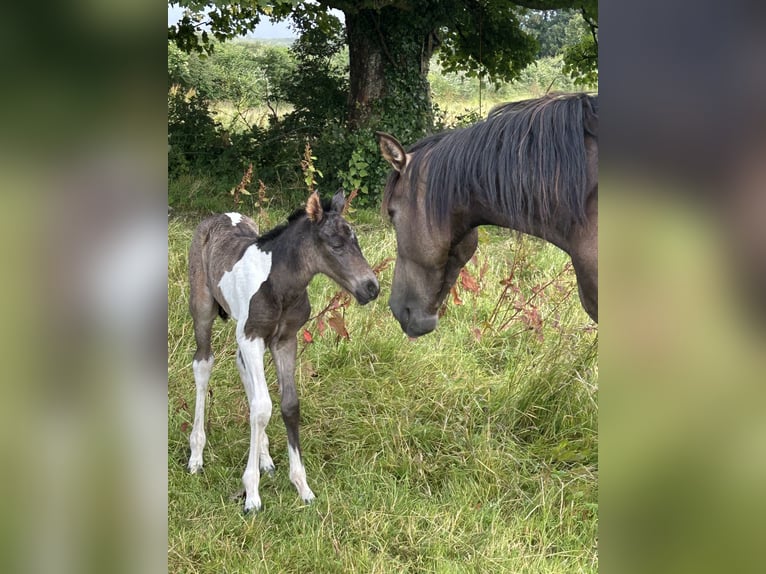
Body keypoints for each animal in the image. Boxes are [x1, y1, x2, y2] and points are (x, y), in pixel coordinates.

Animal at [187, 189, 380, 512]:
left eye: (357, 241)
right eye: (335, 245)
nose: (372, 288)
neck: (280, 284)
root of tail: (219, 215)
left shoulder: (285, 339)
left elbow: (288, 404)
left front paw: (302, 486)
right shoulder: (252, 336)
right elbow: (263, 407)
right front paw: (252, 494)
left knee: (243, 371)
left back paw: (265, 458)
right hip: (203, 310)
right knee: (203, 366)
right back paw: (196, 456)